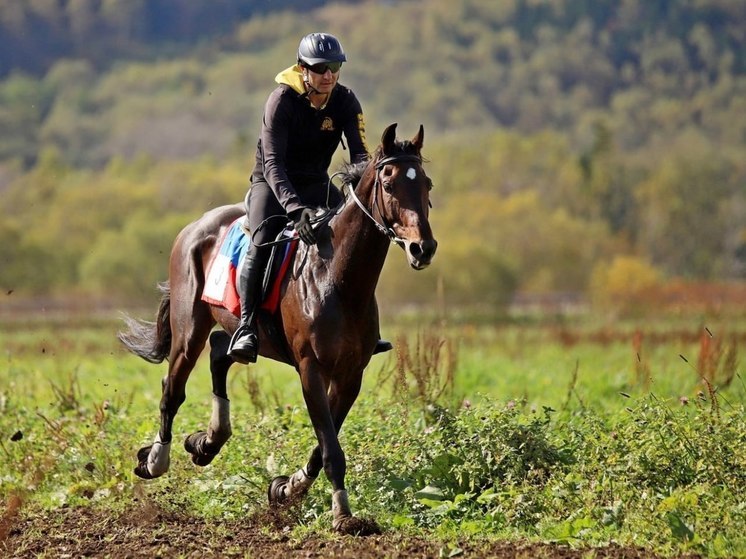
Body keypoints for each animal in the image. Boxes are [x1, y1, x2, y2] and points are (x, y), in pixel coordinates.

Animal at [117, 124, 436, 536]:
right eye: (389, 182)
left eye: (426, 183)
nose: (422, 248)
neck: (338, 280)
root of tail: (195, 226)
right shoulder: (310, 368)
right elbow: (330, 447)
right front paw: (343, 516)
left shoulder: (351, 374)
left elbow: (323, 443)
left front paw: (287, 488)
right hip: (189, 330)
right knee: (173, 387)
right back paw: (155, 459)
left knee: (221, 350)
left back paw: (208, 441)